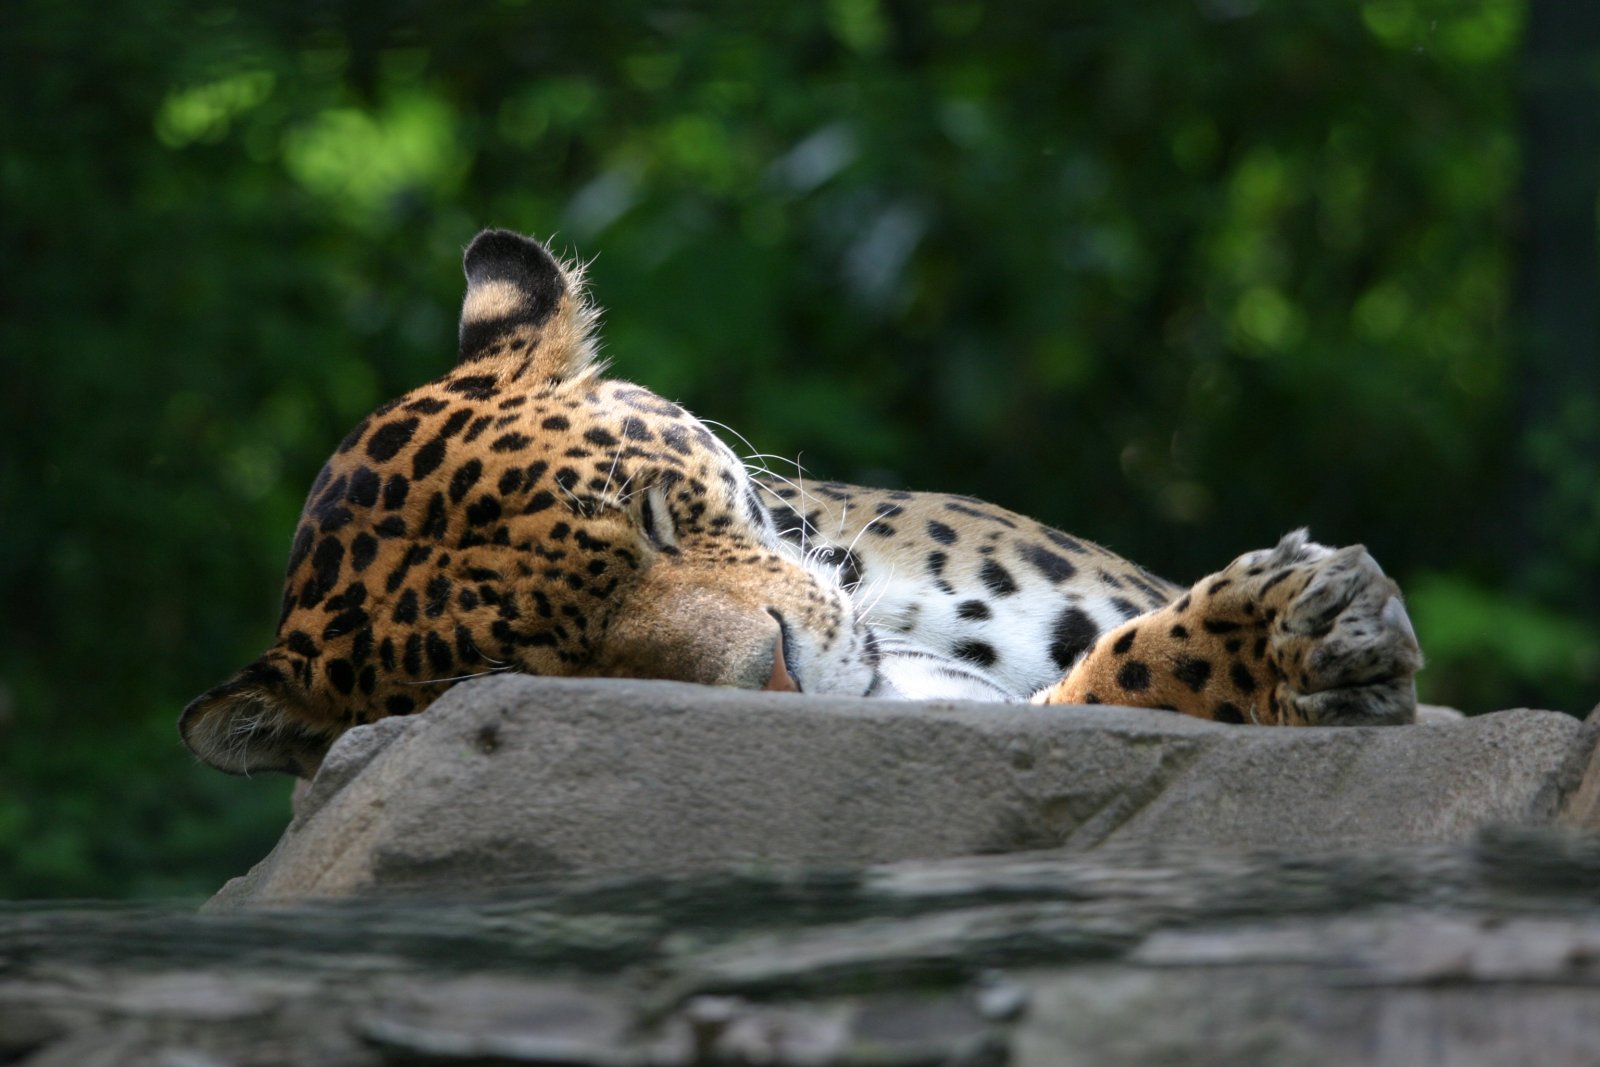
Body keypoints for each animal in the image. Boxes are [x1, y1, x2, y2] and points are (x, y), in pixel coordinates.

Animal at [178, 227, 1427, 777]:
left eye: (652, 514)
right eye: (547, 667)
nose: (775, 678)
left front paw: (1304, 628)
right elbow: (1101, 687)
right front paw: (1279, 645)